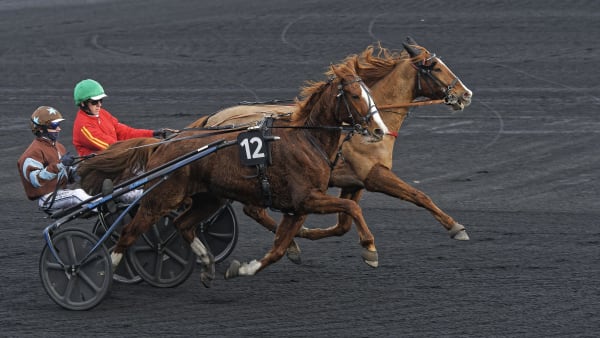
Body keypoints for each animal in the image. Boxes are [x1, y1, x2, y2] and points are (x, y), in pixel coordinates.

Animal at [77, 58, 390, 282]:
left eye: (369, 92)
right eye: (354, 95)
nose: (379, 130)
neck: (305, 139)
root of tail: (164, 145)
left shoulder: (298, 207)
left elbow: (278, 248)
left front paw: (242, 269)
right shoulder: (306, 198)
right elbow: (352, 206)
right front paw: (370, 250)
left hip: (208, 198)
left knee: (182, 224)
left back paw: (206, 263)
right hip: (160, 198)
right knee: (129, 233)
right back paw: (97, 269)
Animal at [188, 36, 474, 264]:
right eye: (435, 67)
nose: (466, 94)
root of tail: (212, 120)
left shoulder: (354, 182)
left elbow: (343, 223)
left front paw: (307, 232)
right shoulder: (374, 175)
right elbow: (418, 195)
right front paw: (456, 227)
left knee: (251, 210)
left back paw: (291, 243)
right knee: (249, 210)